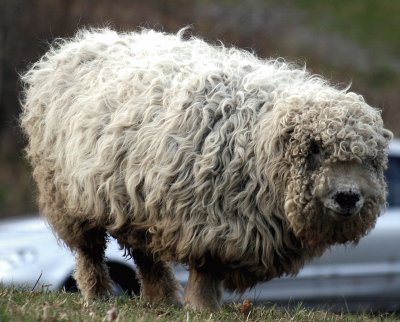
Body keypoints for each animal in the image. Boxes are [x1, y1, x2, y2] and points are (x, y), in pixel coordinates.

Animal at [19, 28, 390, 310]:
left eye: (369, 160)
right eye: (315, 149)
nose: (348, 197)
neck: (259, 141)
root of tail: (80, 42)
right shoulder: (209, 223)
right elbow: (206, 272)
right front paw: (203, 308)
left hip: (136, 198)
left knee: (145, 254)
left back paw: (162, 298)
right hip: (66, 195)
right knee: (89, 252)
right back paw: (97, 295)